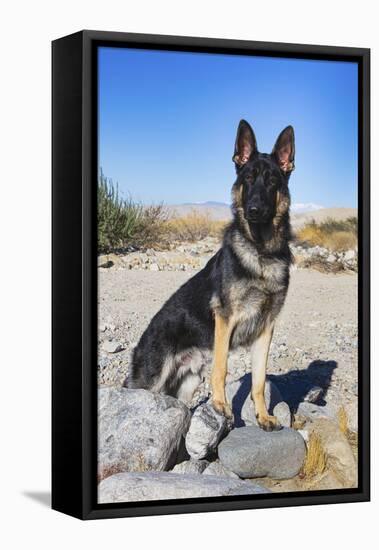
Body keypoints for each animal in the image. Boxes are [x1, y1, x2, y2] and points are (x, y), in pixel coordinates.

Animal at [126, 121, 296, 432]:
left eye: (272, 181)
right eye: (248, 179)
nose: (254, 210)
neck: (261, 252)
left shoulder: (266, 329)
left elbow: (259, 380)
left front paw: (263, 416)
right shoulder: (226, 320)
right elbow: (221, 368)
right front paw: (220, 405)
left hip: (187, 383)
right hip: (151, 381)